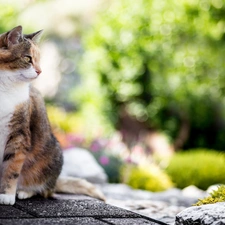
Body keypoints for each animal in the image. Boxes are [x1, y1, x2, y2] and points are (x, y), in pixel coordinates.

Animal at [0, 25, 104, 205]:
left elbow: (12, 168)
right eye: (27, 58)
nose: (40, 71)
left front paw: (6, 195)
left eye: (38, 59)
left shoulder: (19, 135)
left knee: (46, 190)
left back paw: (24, 191)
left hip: (50, 158)